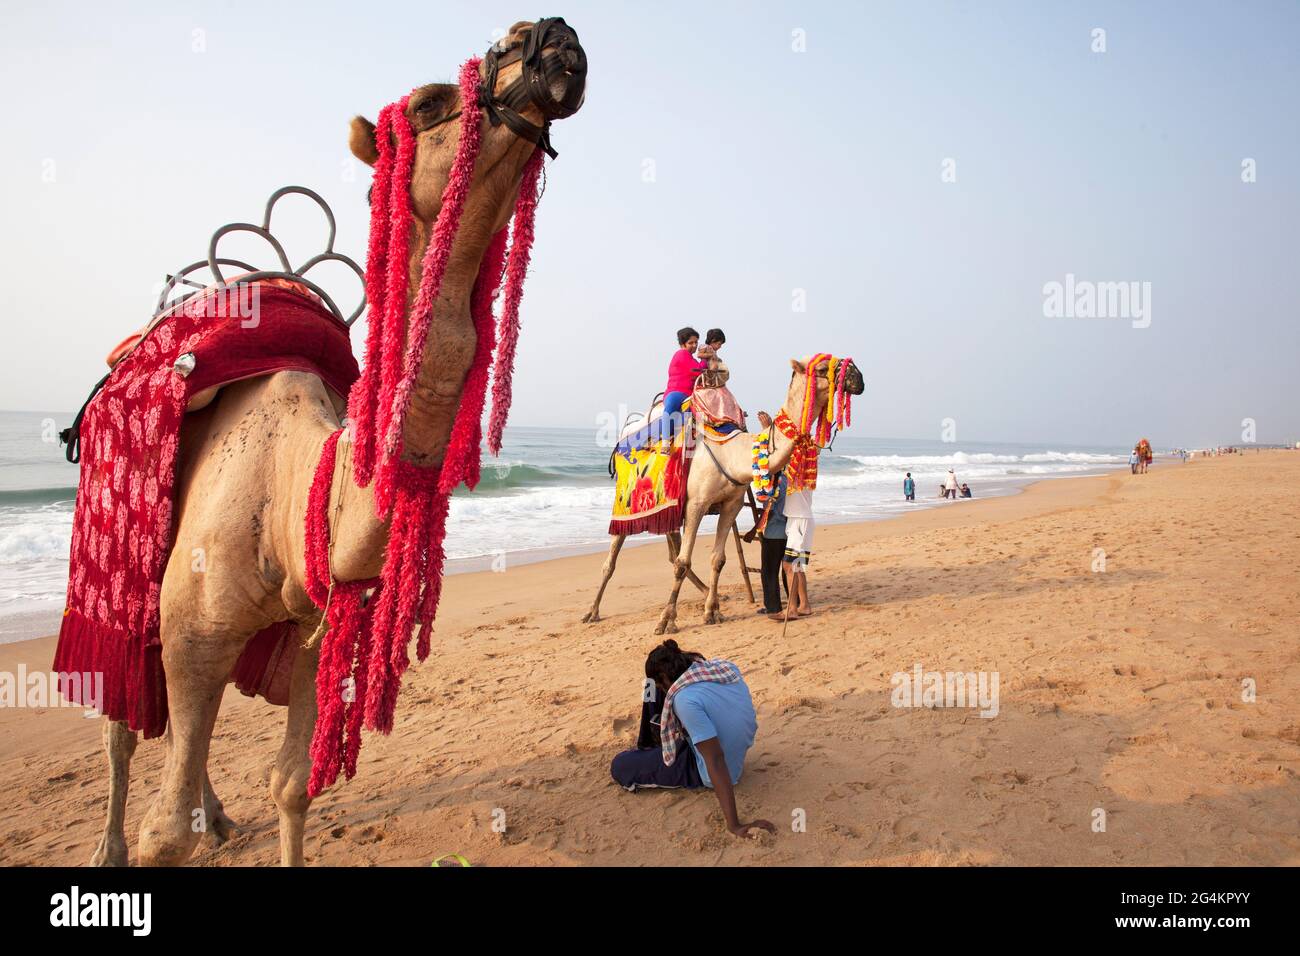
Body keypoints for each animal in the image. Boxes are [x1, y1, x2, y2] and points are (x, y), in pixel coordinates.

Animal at [83, 16, 587, 868]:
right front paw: (150, 840)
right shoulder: (189, 630)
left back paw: (220, 817)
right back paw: (112, 846)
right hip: (122, 570)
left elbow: (292, 785)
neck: (291, 500)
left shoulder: (316, 633)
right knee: (125, 725)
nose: (550, 36)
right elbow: (165, 832)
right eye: (427, 102)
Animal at [582, 358, 863, 634]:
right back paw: (592, 612)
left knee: (672, 553)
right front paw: (665, 621)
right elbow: (683, 562)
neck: (731, 453)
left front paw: (710, 612)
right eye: (822, 367)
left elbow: (717, 559)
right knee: (614, 559)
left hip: (668, 510)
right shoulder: (696, 504)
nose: (857, 376)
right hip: (625, 506)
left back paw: (708, 596)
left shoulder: (731, 505)